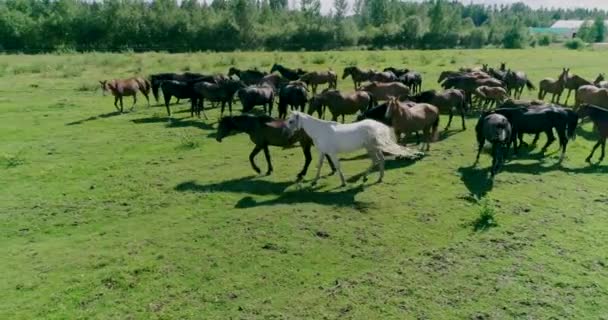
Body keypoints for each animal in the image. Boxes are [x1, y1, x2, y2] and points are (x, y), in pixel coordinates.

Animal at [282, 111, 420, 186]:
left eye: (291, 121)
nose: (286, 134)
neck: (320, 131)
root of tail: (378, 125)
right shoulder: (323, 152)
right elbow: (319, 165)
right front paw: (314, 181)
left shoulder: (332, 153)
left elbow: (337, 166)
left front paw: (343, 183)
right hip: (374, 148)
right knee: (380, 160)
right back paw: (379, 178)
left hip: (371, 148)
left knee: (376, 160)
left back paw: (366, 177)